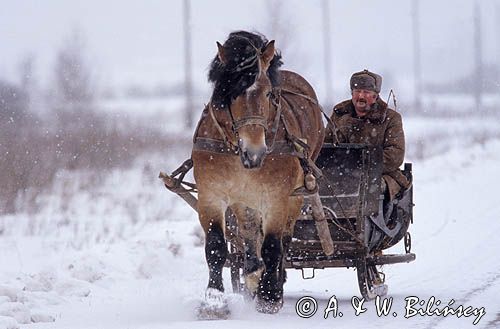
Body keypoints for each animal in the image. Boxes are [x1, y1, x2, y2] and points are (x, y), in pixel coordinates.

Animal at [191, 30, 324, 316]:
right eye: (231, 92)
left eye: (268, 94)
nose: (254, 152)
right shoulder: (211, 195)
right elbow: (216, 246)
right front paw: (214, 300)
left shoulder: (276, 197)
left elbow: (273, 245)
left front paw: (269, 296)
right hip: (244, 199)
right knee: (249, 231)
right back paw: (252, 272)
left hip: (297, 194)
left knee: (284, 238)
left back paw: (273, 283)